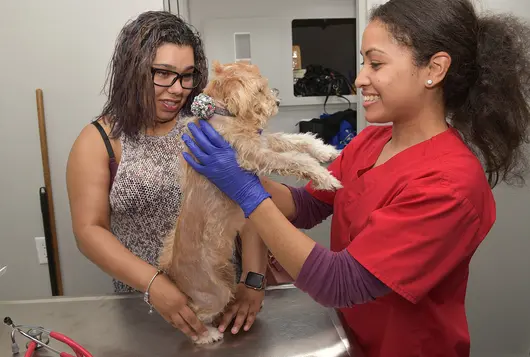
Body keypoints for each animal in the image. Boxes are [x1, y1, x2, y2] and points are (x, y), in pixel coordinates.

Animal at [157, 59, 340, 344]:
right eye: (260, 91)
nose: (278, 102)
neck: (222, 112)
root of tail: (172, 272)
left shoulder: (264, 140)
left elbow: (297, 140)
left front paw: (326, 151)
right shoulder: (256, 154)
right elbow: (295, 159)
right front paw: (324, 177)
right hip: (214, 292)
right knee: (192, 318)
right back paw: (207, 335)